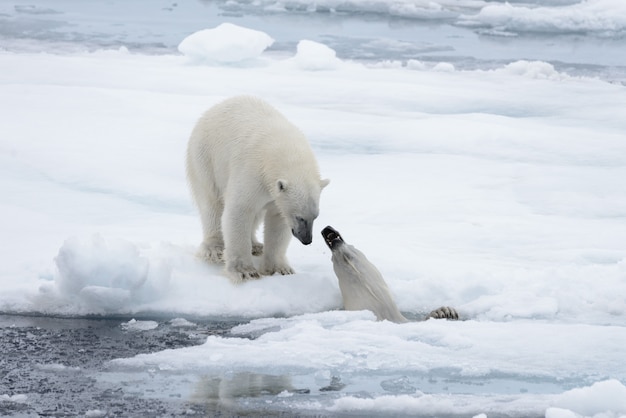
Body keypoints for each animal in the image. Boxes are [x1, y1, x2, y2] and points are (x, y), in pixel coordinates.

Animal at [185, 95, 330, 284]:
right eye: (299, 217)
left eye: (315, 216)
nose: (306, 239)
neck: (284, 149)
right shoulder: (252, 172)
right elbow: (239, 210)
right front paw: (244, 272)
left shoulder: (274, 194)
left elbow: (277, 220)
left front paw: (280, 269)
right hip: (205, 158)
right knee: (211, 203)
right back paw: (214, 249)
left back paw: (255, 245)